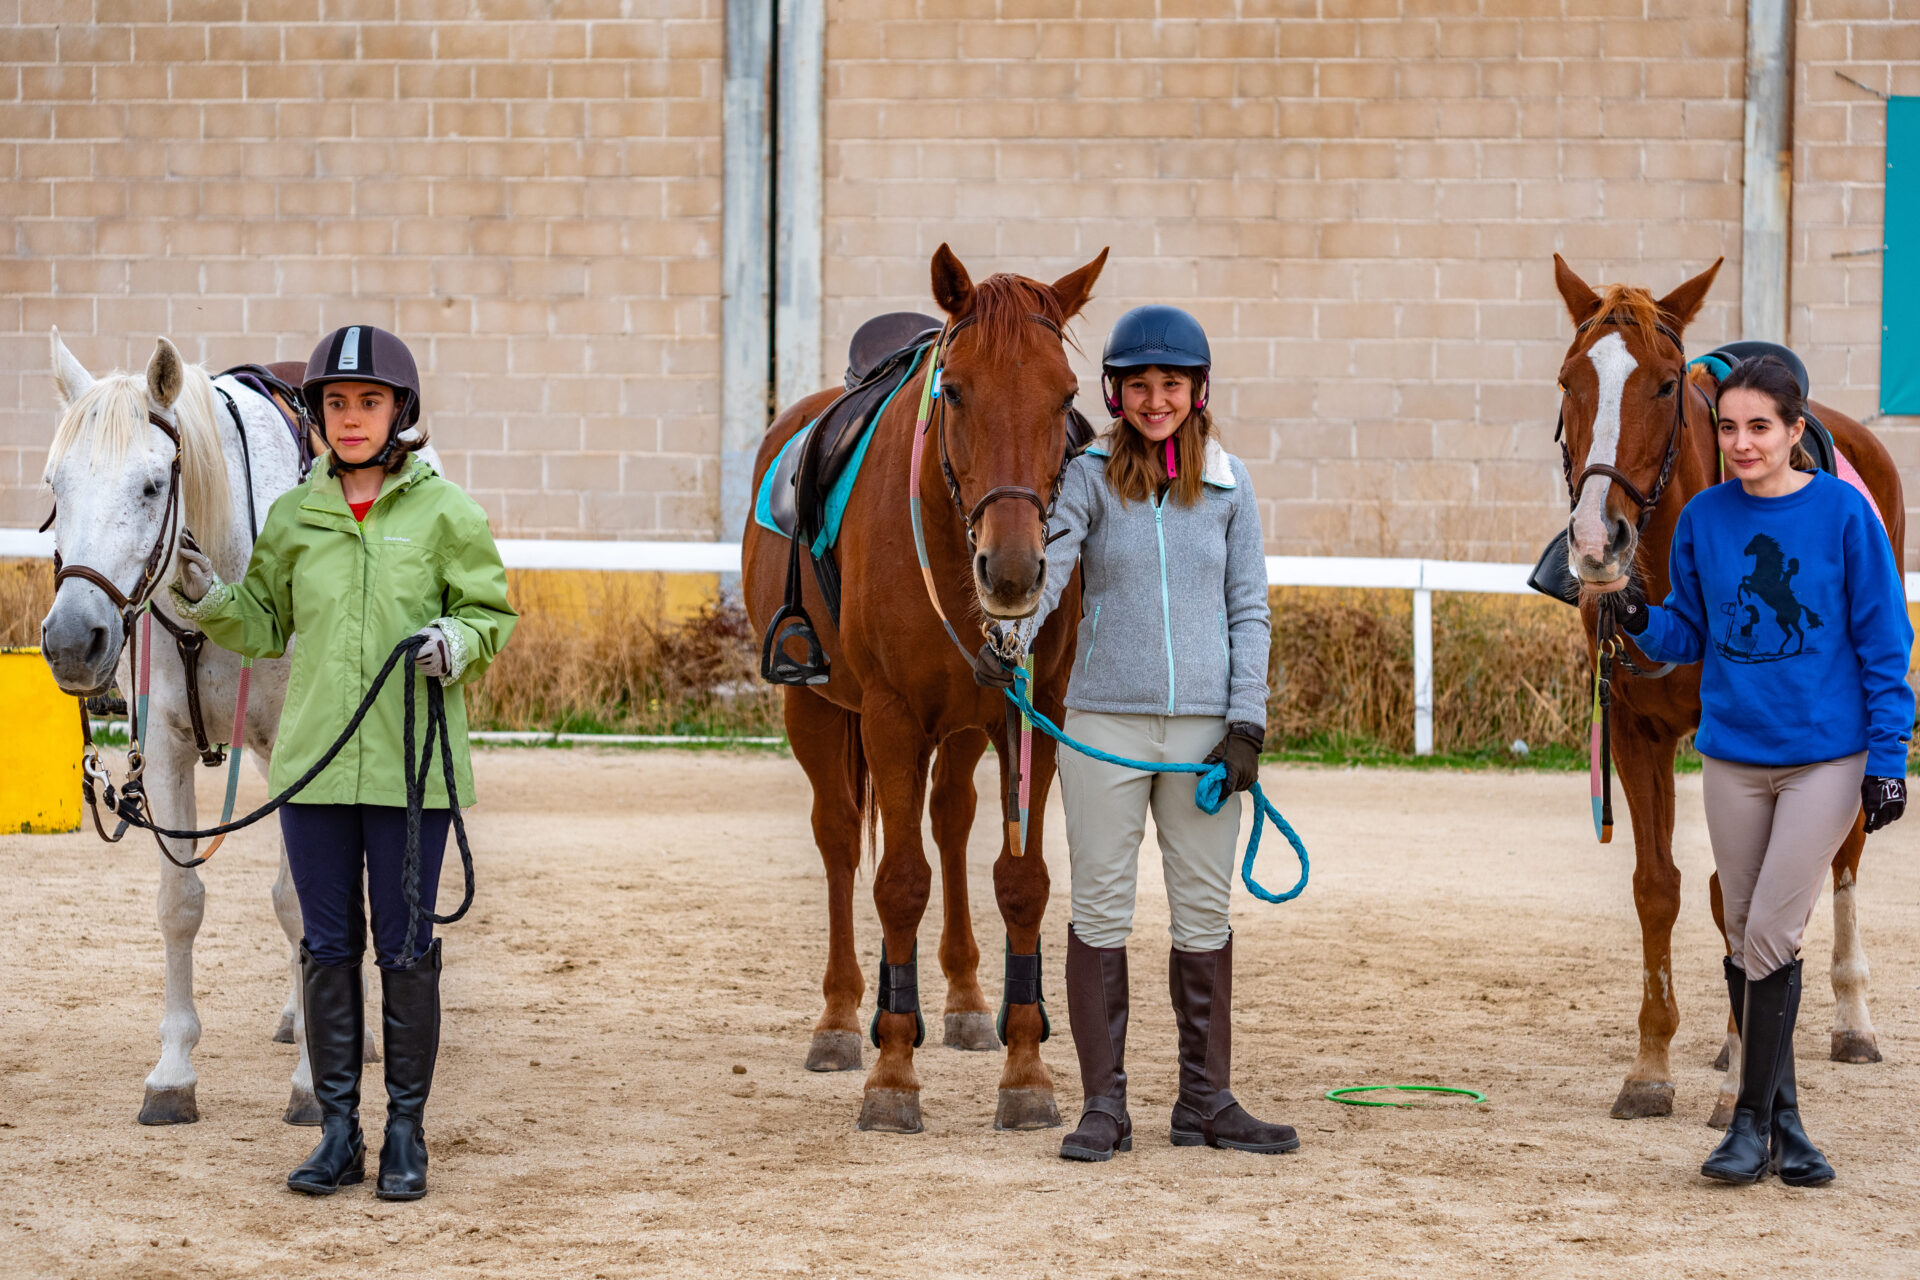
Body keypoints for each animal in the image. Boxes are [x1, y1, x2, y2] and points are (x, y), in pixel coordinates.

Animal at [39, 333, 376, 1128]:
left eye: (151, 486)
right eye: (56, 485)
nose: (71, 641)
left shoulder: (302, 752)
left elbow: (301, 904)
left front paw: (313, 1082)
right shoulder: (163, 750)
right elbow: (180, 904)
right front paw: (172, 1075)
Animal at [748, 242, 1113, 1128]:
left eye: (1067, 396)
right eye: (955, 390)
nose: (1012, 572)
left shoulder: (1032, 714)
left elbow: (1021, 882)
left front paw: (1025, 1070)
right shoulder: (889, 714)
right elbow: (898, 882)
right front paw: (891, 1072)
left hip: (964, 724)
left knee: (948, 822)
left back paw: (966, 1003)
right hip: (815, 706)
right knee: (843, 841)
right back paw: (844, 1018)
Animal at [1559, 257, 1904, 1120]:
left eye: (1663, 383)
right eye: (1570, 381)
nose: (1597, 541)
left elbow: (1740, 895)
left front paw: (1747, 1072)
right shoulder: (1639, 735)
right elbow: (1661, 889)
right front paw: (1651, 1066)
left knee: (1842, 861)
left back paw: (1851, 1018)